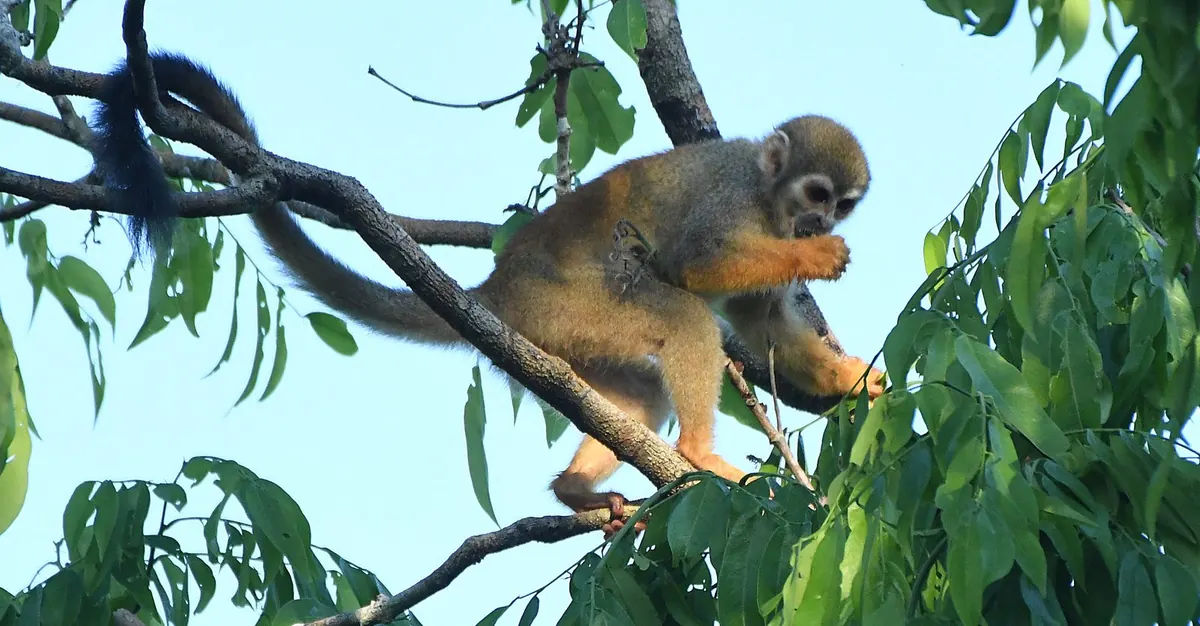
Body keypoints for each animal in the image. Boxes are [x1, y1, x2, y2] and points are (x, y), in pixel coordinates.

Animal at [94, 51, 885, 535]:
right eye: (816, 195)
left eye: (841, 203)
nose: (819, 223)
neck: (766, 197)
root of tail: (495, 286)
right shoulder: (730, 198)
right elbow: (697, 264)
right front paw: (813, 257)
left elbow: (765, 323)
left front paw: (851, 379)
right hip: (567, 305)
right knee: (682, 315)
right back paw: (695, 451)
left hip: (563, 335)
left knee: (639, 389)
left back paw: (576, 490)